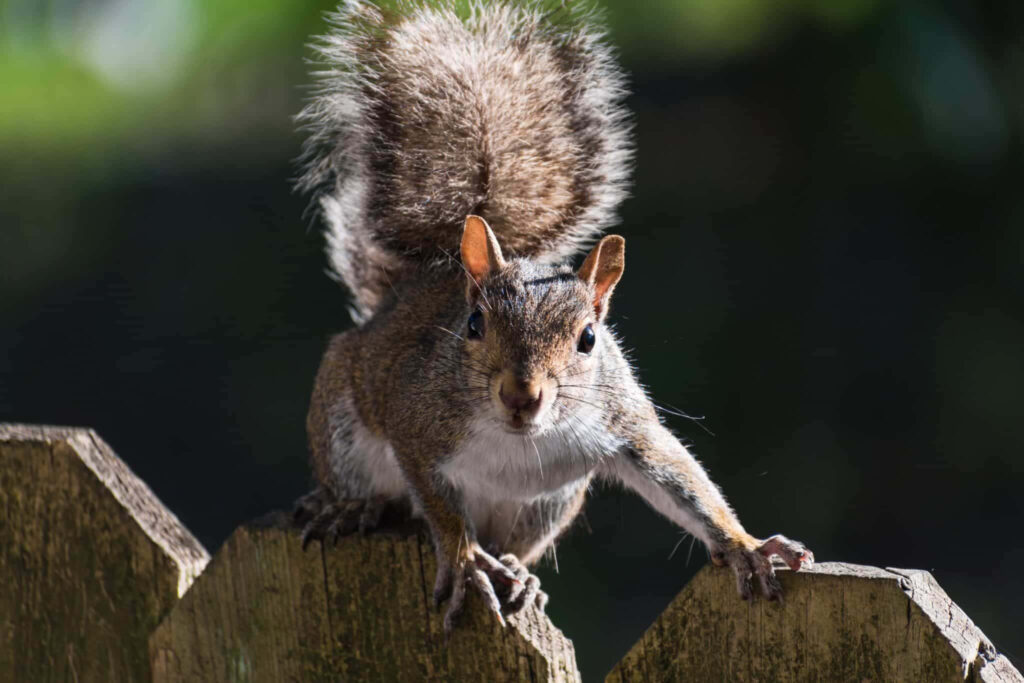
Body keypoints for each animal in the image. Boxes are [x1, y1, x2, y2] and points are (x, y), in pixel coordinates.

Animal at [292, 0, 814, 633]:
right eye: (474, 325)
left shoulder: (625, 426)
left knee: (519, 546)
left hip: (548, 505)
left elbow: (681, 479)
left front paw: (747, 546)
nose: (521, 396)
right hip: (342, 425)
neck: (516, 438)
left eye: (589, 338)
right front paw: (465, 563)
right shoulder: (415, 423)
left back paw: (522, 576)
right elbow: (441, 511)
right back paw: (351, 508)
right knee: (366, 487)